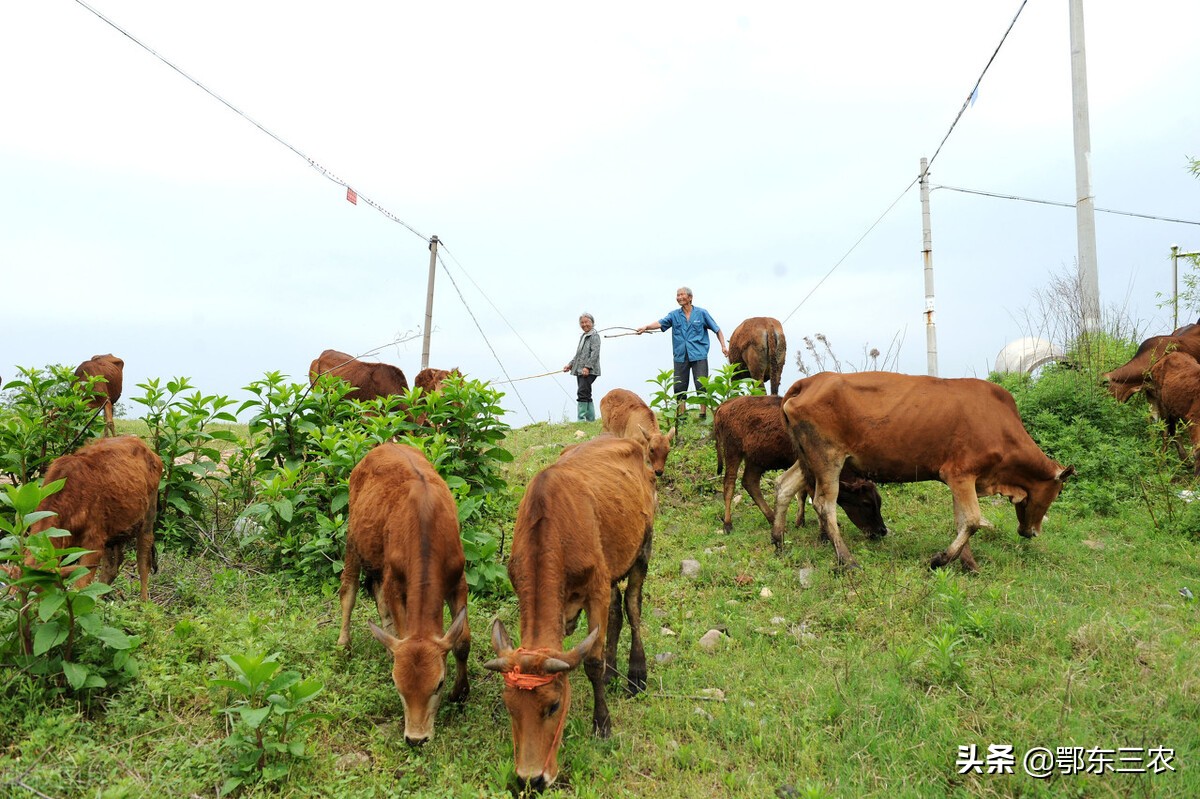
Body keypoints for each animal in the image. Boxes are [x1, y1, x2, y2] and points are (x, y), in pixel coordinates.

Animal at [30, 436, 163, 597]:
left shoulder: (94, 543)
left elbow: (80, 586)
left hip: (148, 515)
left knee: (143, 559)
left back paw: (143, 601)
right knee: (112, 567)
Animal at [338, 441, 472, 748]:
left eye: (439, 684)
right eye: (397, 686)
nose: (416, 738)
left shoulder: (458, 582)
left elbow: (462, 642)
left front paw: (461, 691)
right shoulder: (395, 584)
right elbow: (399, 623)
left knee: (375, 594)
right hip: (353, 539)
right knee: (348, 590)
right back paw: (343, 645)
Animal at [482, 431, 657, 787]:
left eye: (554, 705)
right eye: (510, 707)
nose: (531, 779)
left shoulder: (596, 588)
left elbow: (591, 661)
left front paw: (602, 724)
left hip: (642, 550)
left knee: (632, 607)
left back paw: (635, 675)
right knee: (616, 614)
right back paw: (613, 673)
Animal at [705, 391, 888, 547]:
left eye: (878, 501)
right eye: (866, 502)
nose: (882, 531)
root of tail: (726, 404)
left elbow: (802, 494)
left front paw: (801, 522)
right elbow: (813, 497)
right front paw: (823, 534)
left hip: (756, 459)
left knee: (750, 482)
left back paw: (773, 518)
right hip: (733, 451)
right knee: (729, 484)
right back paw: (728, 524)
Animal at [772, 369, 1075, 568]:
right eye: (1058, 492)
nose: (1032, 532)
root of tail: (808, 382)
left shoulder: (960, 480)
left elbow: (961, 521)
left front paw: (968, 564)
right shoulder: (960, 475)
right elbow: (973, 521)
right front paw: (941, 559)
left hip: (808, 459)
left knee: (784, 485)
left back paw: (778, 541)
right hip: (828, 458)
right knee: (824, 504)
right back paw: (847, 560)